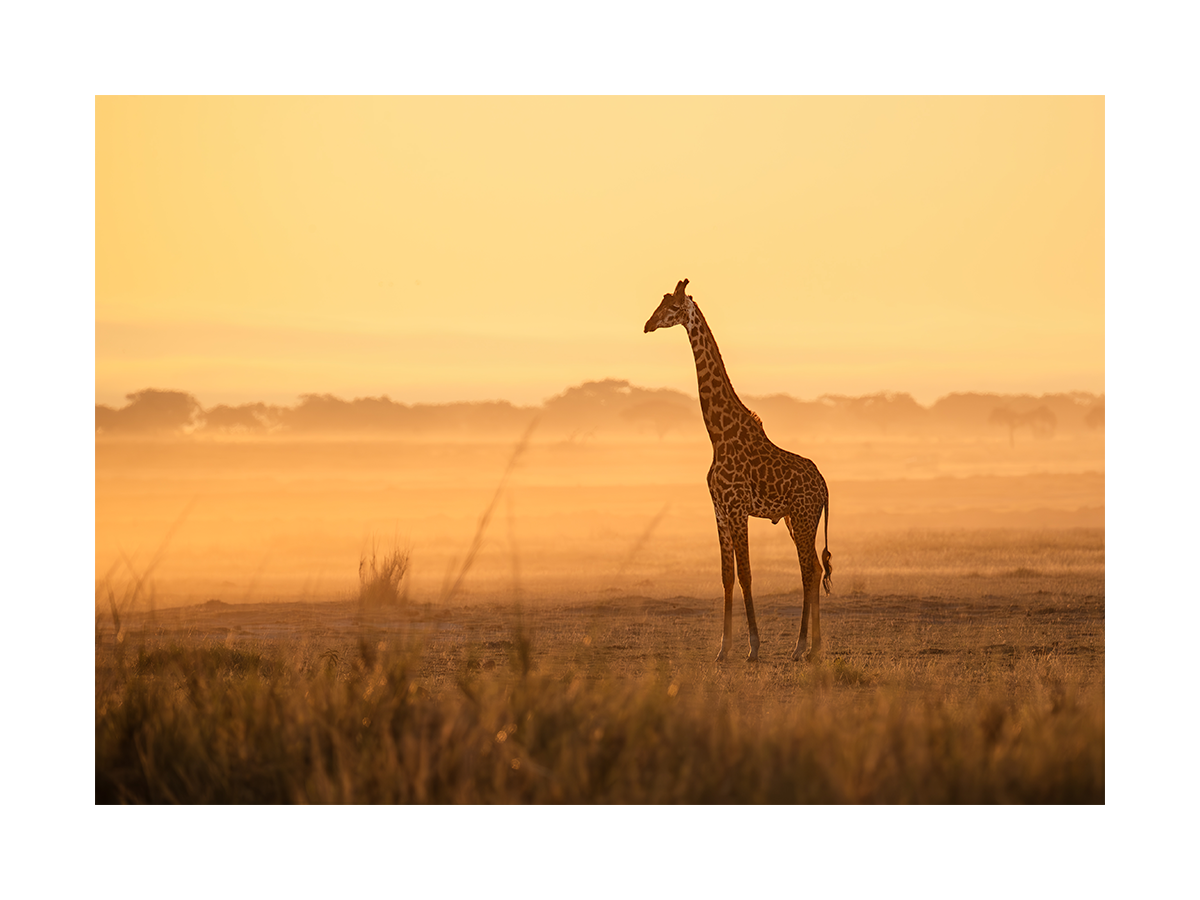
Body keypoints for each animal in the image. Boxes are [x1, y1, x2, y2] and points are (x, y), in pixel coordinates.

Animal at [644, 279, 831, 662]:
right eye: (660, 303)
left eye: (672, 308)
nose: (647, 324)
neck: (718, 433)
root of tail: (824, 485)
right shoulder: (718, 508)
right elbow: (726, 576)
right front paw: (723, 648)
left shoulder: (737, 507)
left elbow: (746, 574)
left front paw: (753, 647)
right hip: (795, 519)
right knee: (814, 569)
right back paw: (811, 647)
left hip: (804, 516)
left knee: (809, 571)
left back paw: (801, 647)